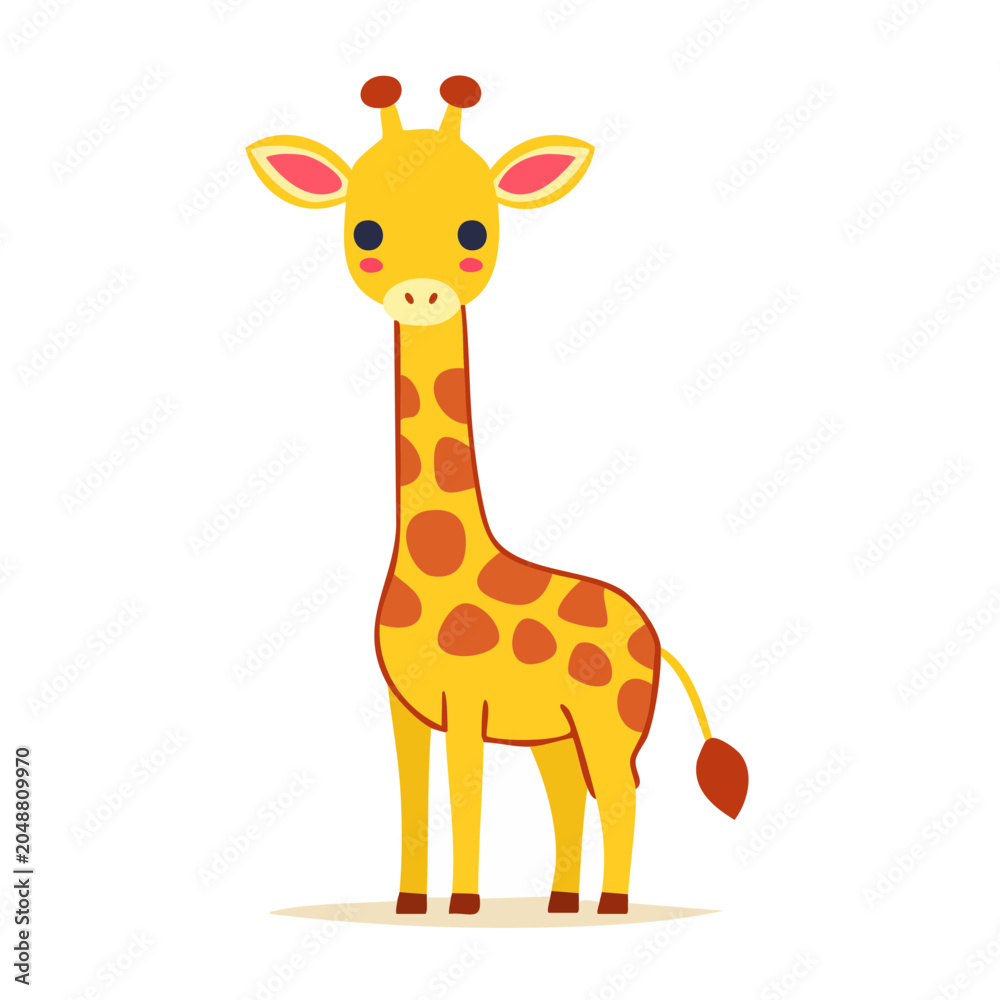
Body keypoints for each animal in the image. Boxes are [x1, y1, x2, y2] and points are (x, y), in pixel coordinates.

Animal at [246, 76, 748, 917]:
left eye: (475, 231)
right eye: (366, 231)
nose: (421, 293)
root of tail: (653, 634)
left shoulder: (469, 705)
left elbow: (464, 794)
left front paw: (464, 905)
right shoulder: (407, 708)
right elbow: (415, 799)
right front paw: (411, 903)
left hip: (607, 722)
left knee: (620, 793)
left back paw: (610, 905)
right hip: (556, 733)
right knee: (572, 796)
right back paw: (561, 902)